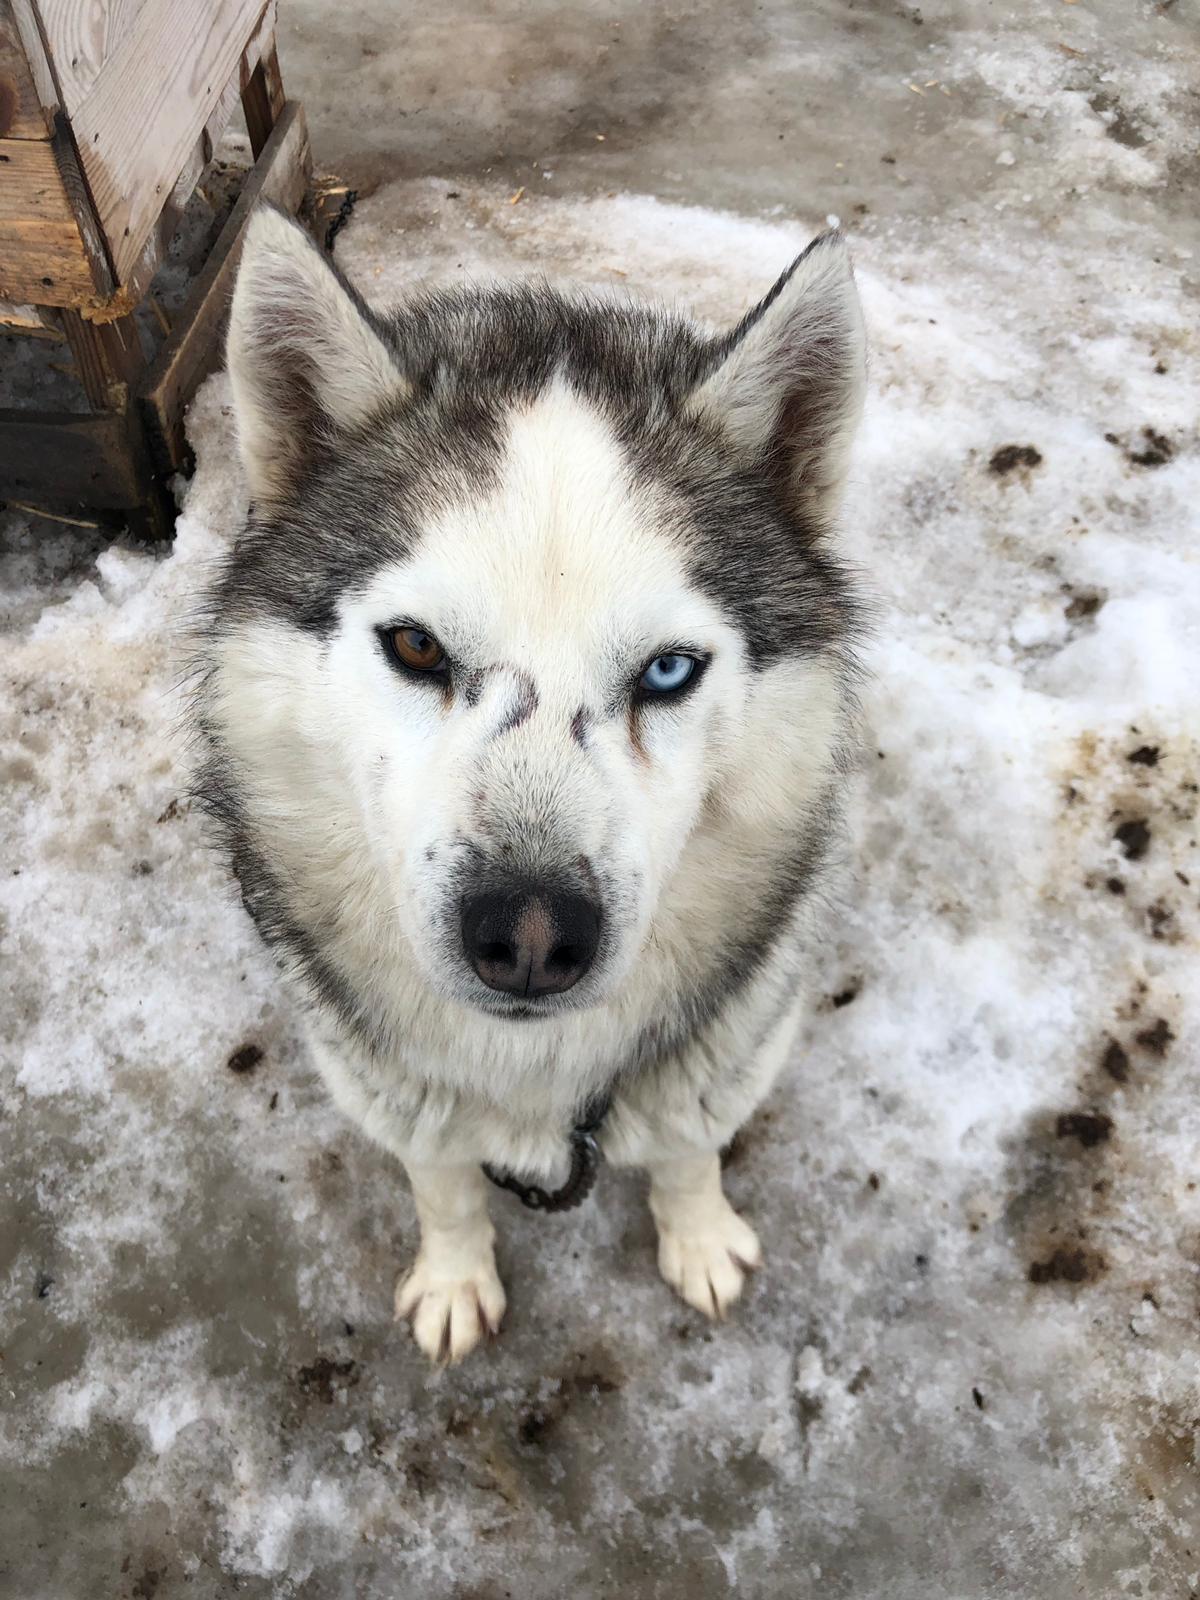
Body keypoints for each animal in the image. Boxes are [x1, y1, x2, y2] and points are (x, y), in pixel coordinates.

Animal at [195, 206, 864, 1363]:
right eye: (416, 646)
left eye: (668, 671)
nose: (532, 936)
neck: (538, 1077)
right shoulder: (394, 1086)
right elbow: (443, 1181)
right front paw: (456, 1275)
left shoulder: (722, 1050)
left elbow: (688, 1150)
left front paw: (699, 1236)